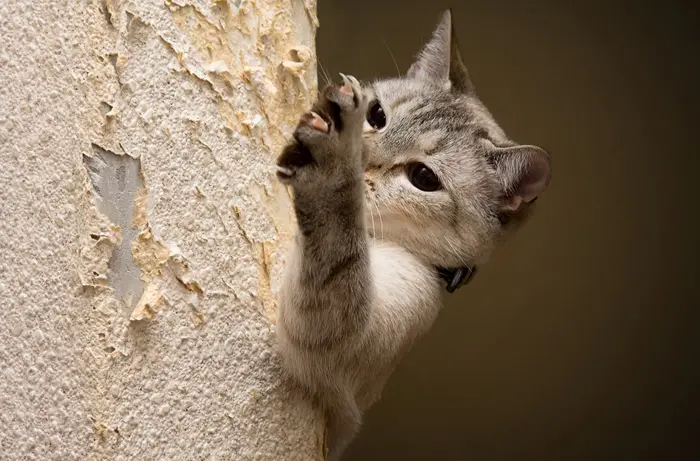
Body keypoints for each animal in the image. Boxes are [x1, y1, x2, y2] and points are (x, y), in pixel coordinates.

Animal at [274, 9, 552, 458]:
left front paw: (334, 160)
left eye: (423, 178)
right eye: (376, 115)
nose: (361, 157)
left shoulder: (333, 352)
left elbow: (337, 236)